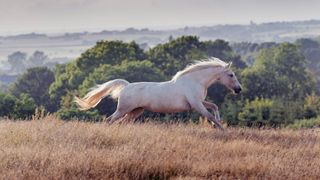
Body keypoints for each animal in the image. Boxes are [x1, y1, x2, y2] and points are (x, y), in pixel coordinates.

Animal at [74, 57, 240, 129]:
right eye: (231, 75)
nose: (239, 89)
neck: (194, 81)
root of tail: (126, 86)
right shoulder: (196, 104)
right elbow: (210, 115)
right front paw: (222, 129)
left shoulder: (199, 102)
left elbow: (214, 107)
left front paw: (218, 123)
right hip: (123, 110)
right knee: (109, 120)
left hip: (135, 111)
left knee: (122, 122)